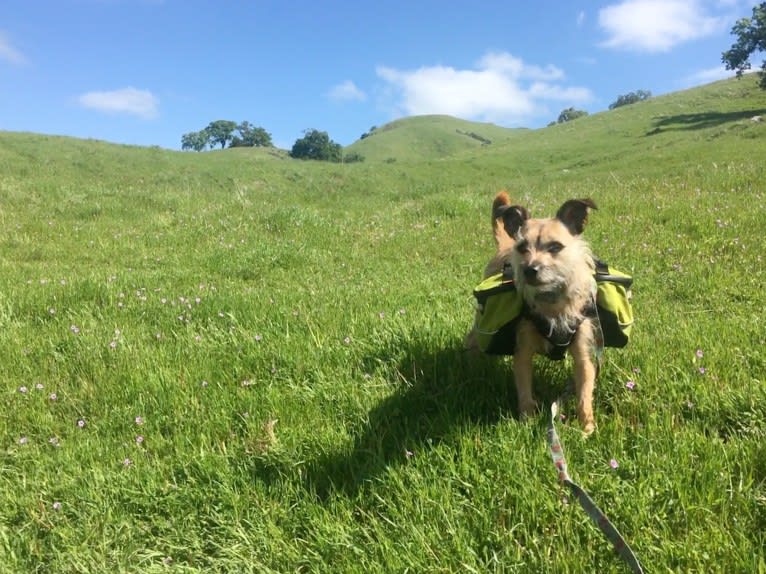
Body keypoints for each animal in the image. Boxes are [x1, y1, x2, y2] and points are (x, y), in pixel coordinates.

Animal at [464, 191, 604, 434]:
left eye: (555, 247)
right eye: (522, 248)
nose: (530, 269)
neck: (550, 302)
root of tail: (504, 246)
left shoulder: (583, 355)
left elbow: (584, 392)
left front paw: (587, 426)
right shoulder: (523, 351)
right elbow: (524, 391)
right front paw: (527, 421)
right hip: (481, 322)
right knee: (473, 339)